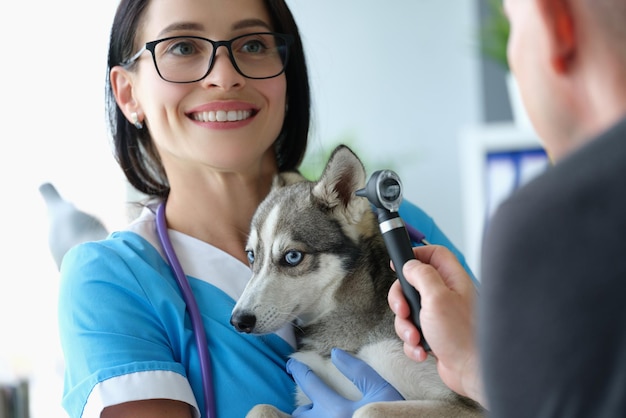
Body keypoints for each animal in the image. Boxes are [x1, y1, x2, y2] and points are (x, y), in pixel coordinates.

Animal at [232, 145, 480, 416]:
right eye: (251, 255)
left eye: (292, 256)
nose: (239, 321)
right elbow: (260, 407)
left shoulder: (467, 406)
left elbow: (368, 408)